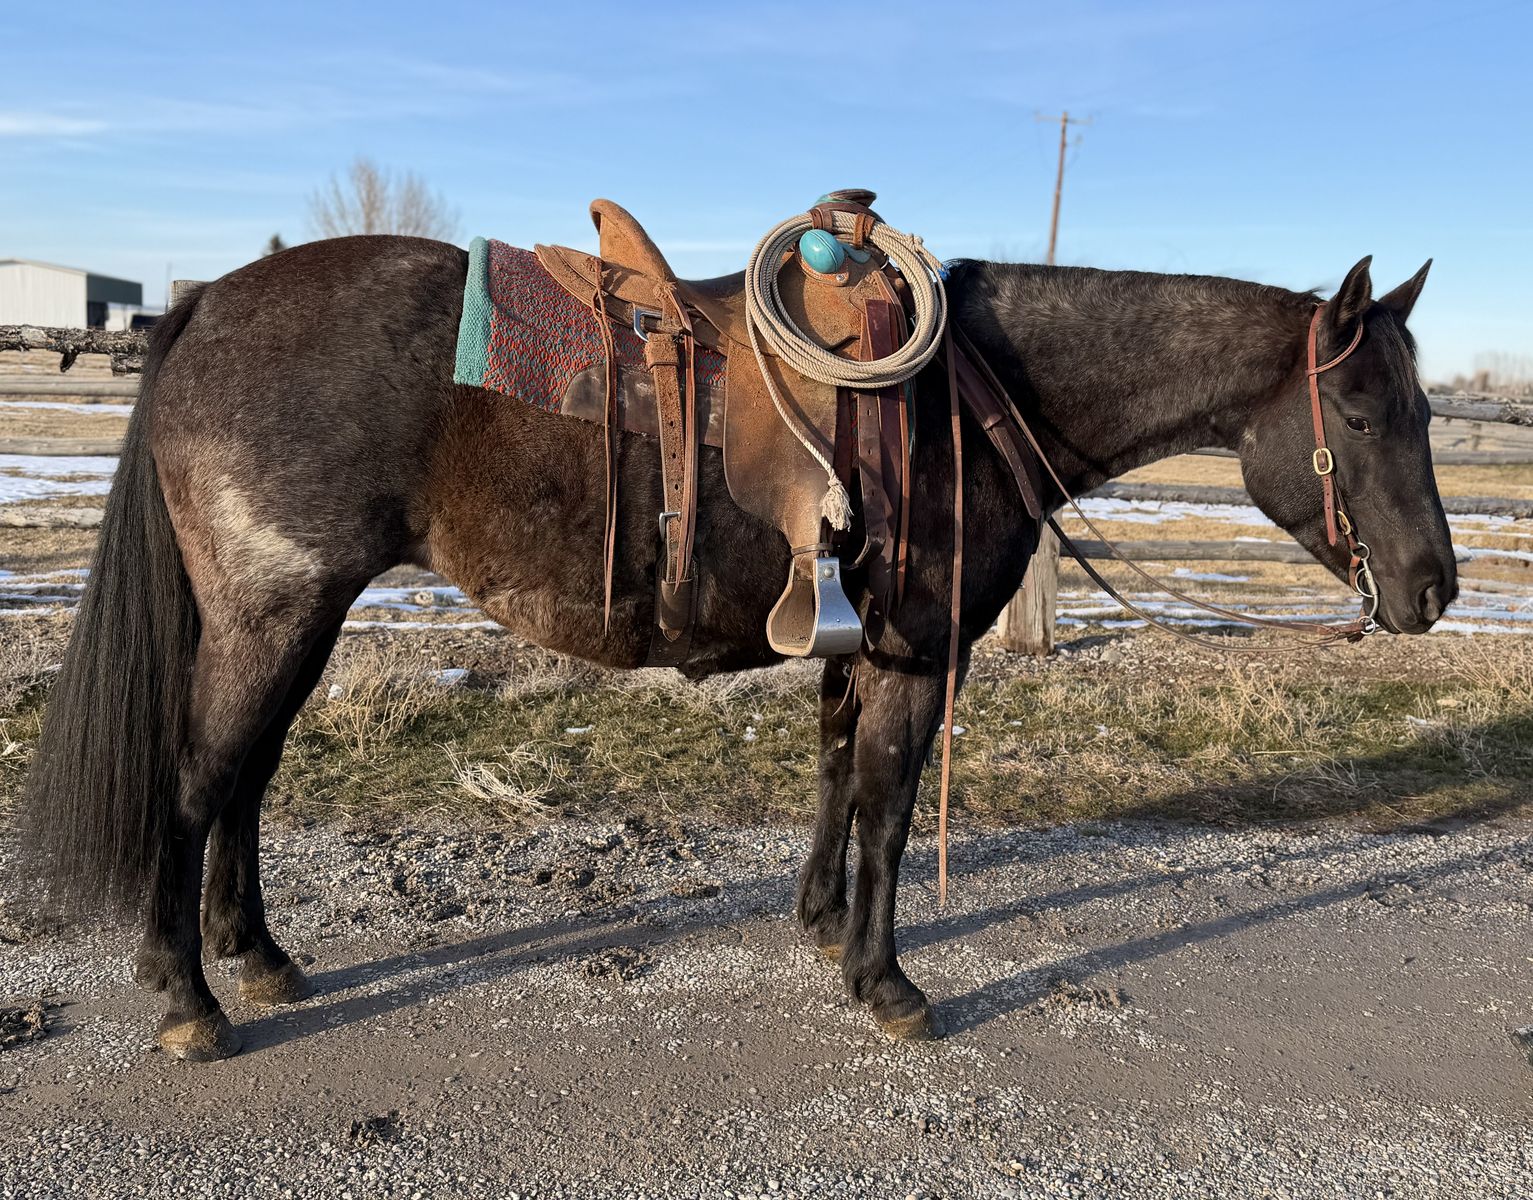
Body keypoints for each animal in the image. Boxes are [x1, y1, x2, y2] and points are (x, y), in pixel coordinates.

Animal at [22, 235, 1454, 1060]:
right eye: (1364, 412)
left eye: (1425, 407)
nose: (1435, 587)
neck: (972, 398)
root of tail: (208, 305)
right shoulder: (918, 659)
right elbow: (888, 805)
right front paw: (886, 981)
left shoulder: (862, 645)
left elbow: (835, 778)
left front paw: (820, 926)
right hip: (274, 616)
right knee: (200, 781)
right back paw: (186, 998)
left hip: (295, 620)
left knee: (247, 781)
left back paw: (259, 960)